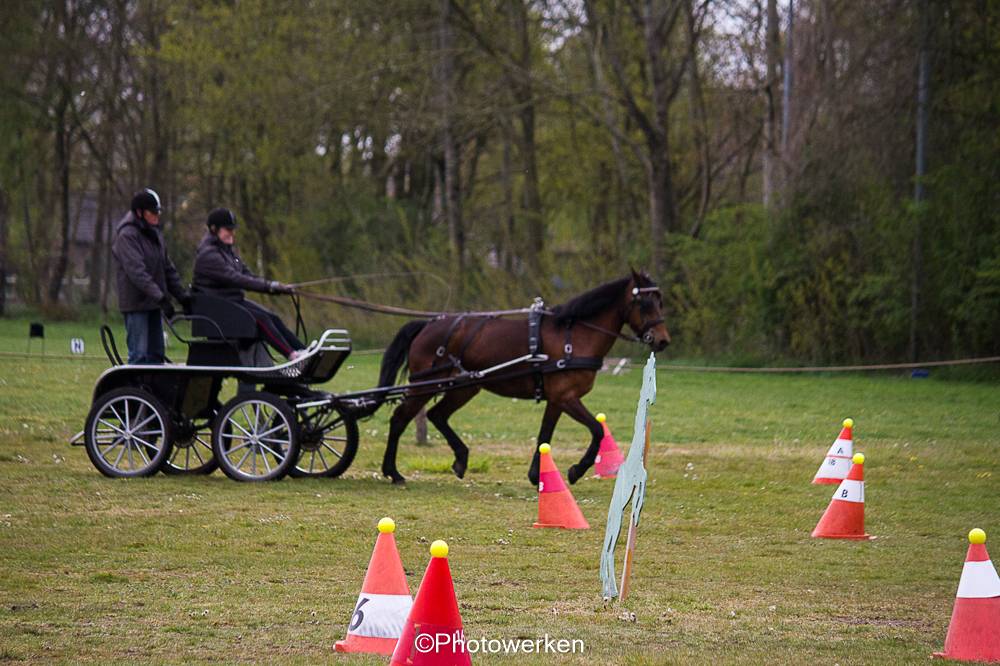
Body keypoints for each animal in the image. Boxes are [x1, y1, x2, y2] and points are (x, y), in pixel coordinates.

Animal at [372, 268, 668, 482]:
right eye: (644, 303)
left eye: (660, 301)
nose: (663, 340)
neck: (574, 335)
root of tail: (429, 324)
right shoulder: (566, 397)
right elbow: (596, 429)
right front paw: (575, 471)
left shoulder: (556, 400)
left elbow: (544, 436)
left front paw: (536, 476)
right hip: (424, 385)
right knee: (399, 419)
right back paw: (393, 472)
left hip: (464, 387)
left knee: (437, 415)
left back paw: (460, 459)